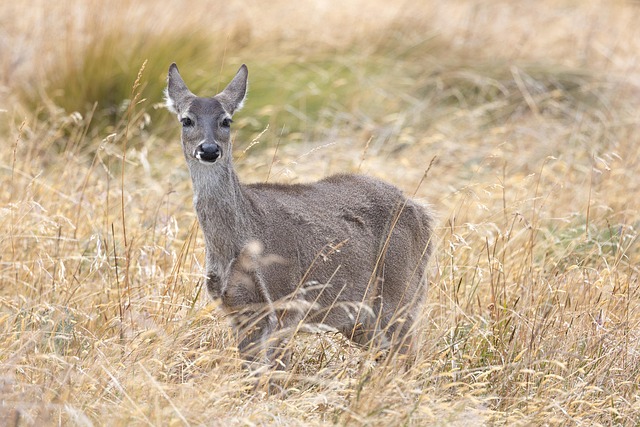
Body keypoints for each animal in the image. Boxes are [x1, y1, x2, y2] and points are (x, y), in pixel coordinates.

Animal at [165, 63, 434, 371]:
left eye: (226, 121)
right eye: (186, 120)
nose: (209, 150)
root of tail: (422, 211)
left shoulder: (286, 302)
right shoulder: (238, 310)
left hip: (400, 289)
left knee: (408, 356)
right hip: (360, 318)